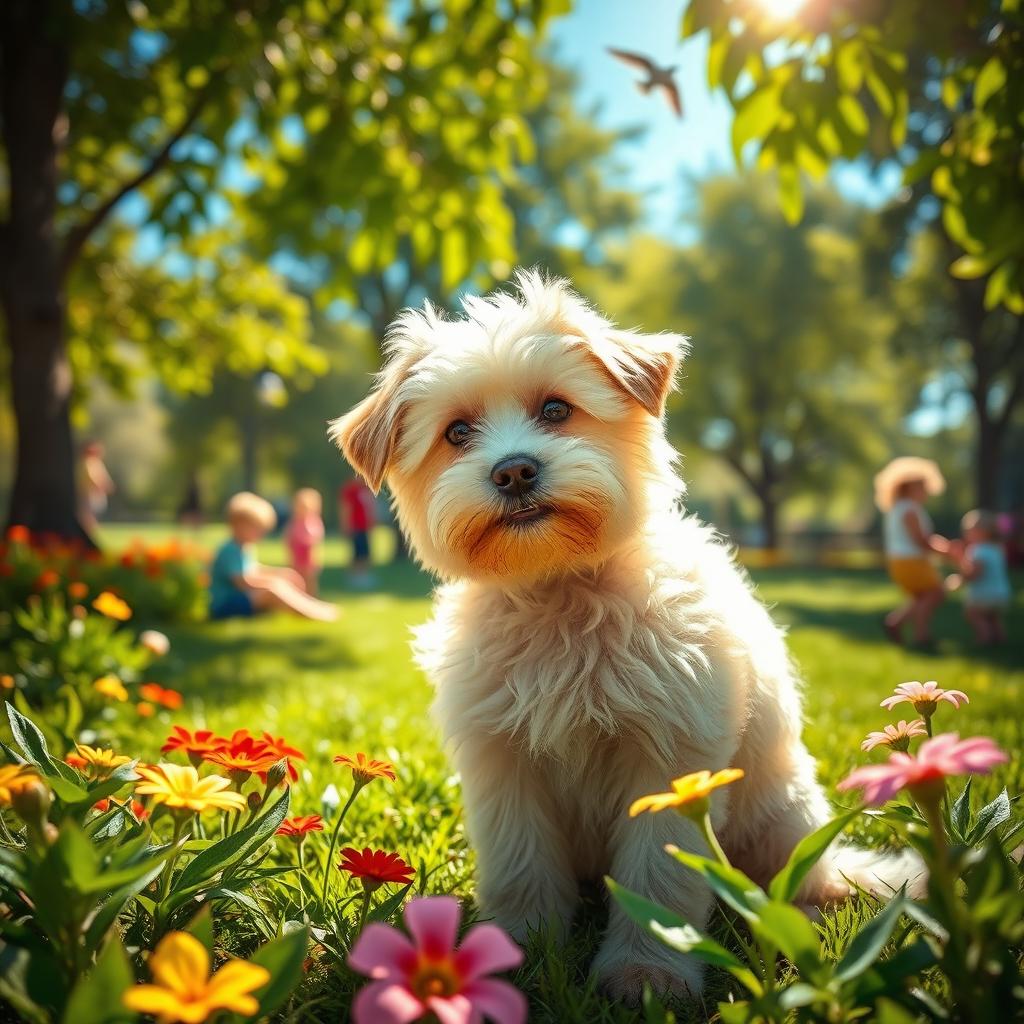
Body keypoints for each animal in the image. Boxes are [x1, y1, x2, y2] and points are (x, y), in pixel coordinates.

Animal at [331, 270, 917, 999]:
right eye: (457, 432)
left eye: (556, 410)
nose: (514, 471)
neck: (559, 595)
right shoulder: (504, 764)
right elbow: (520, 864)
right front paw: (513, 950)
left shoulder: (669, 761)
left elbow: (658, 881)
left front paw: (646, 974)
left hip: (780, 820)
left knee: (801, 883)